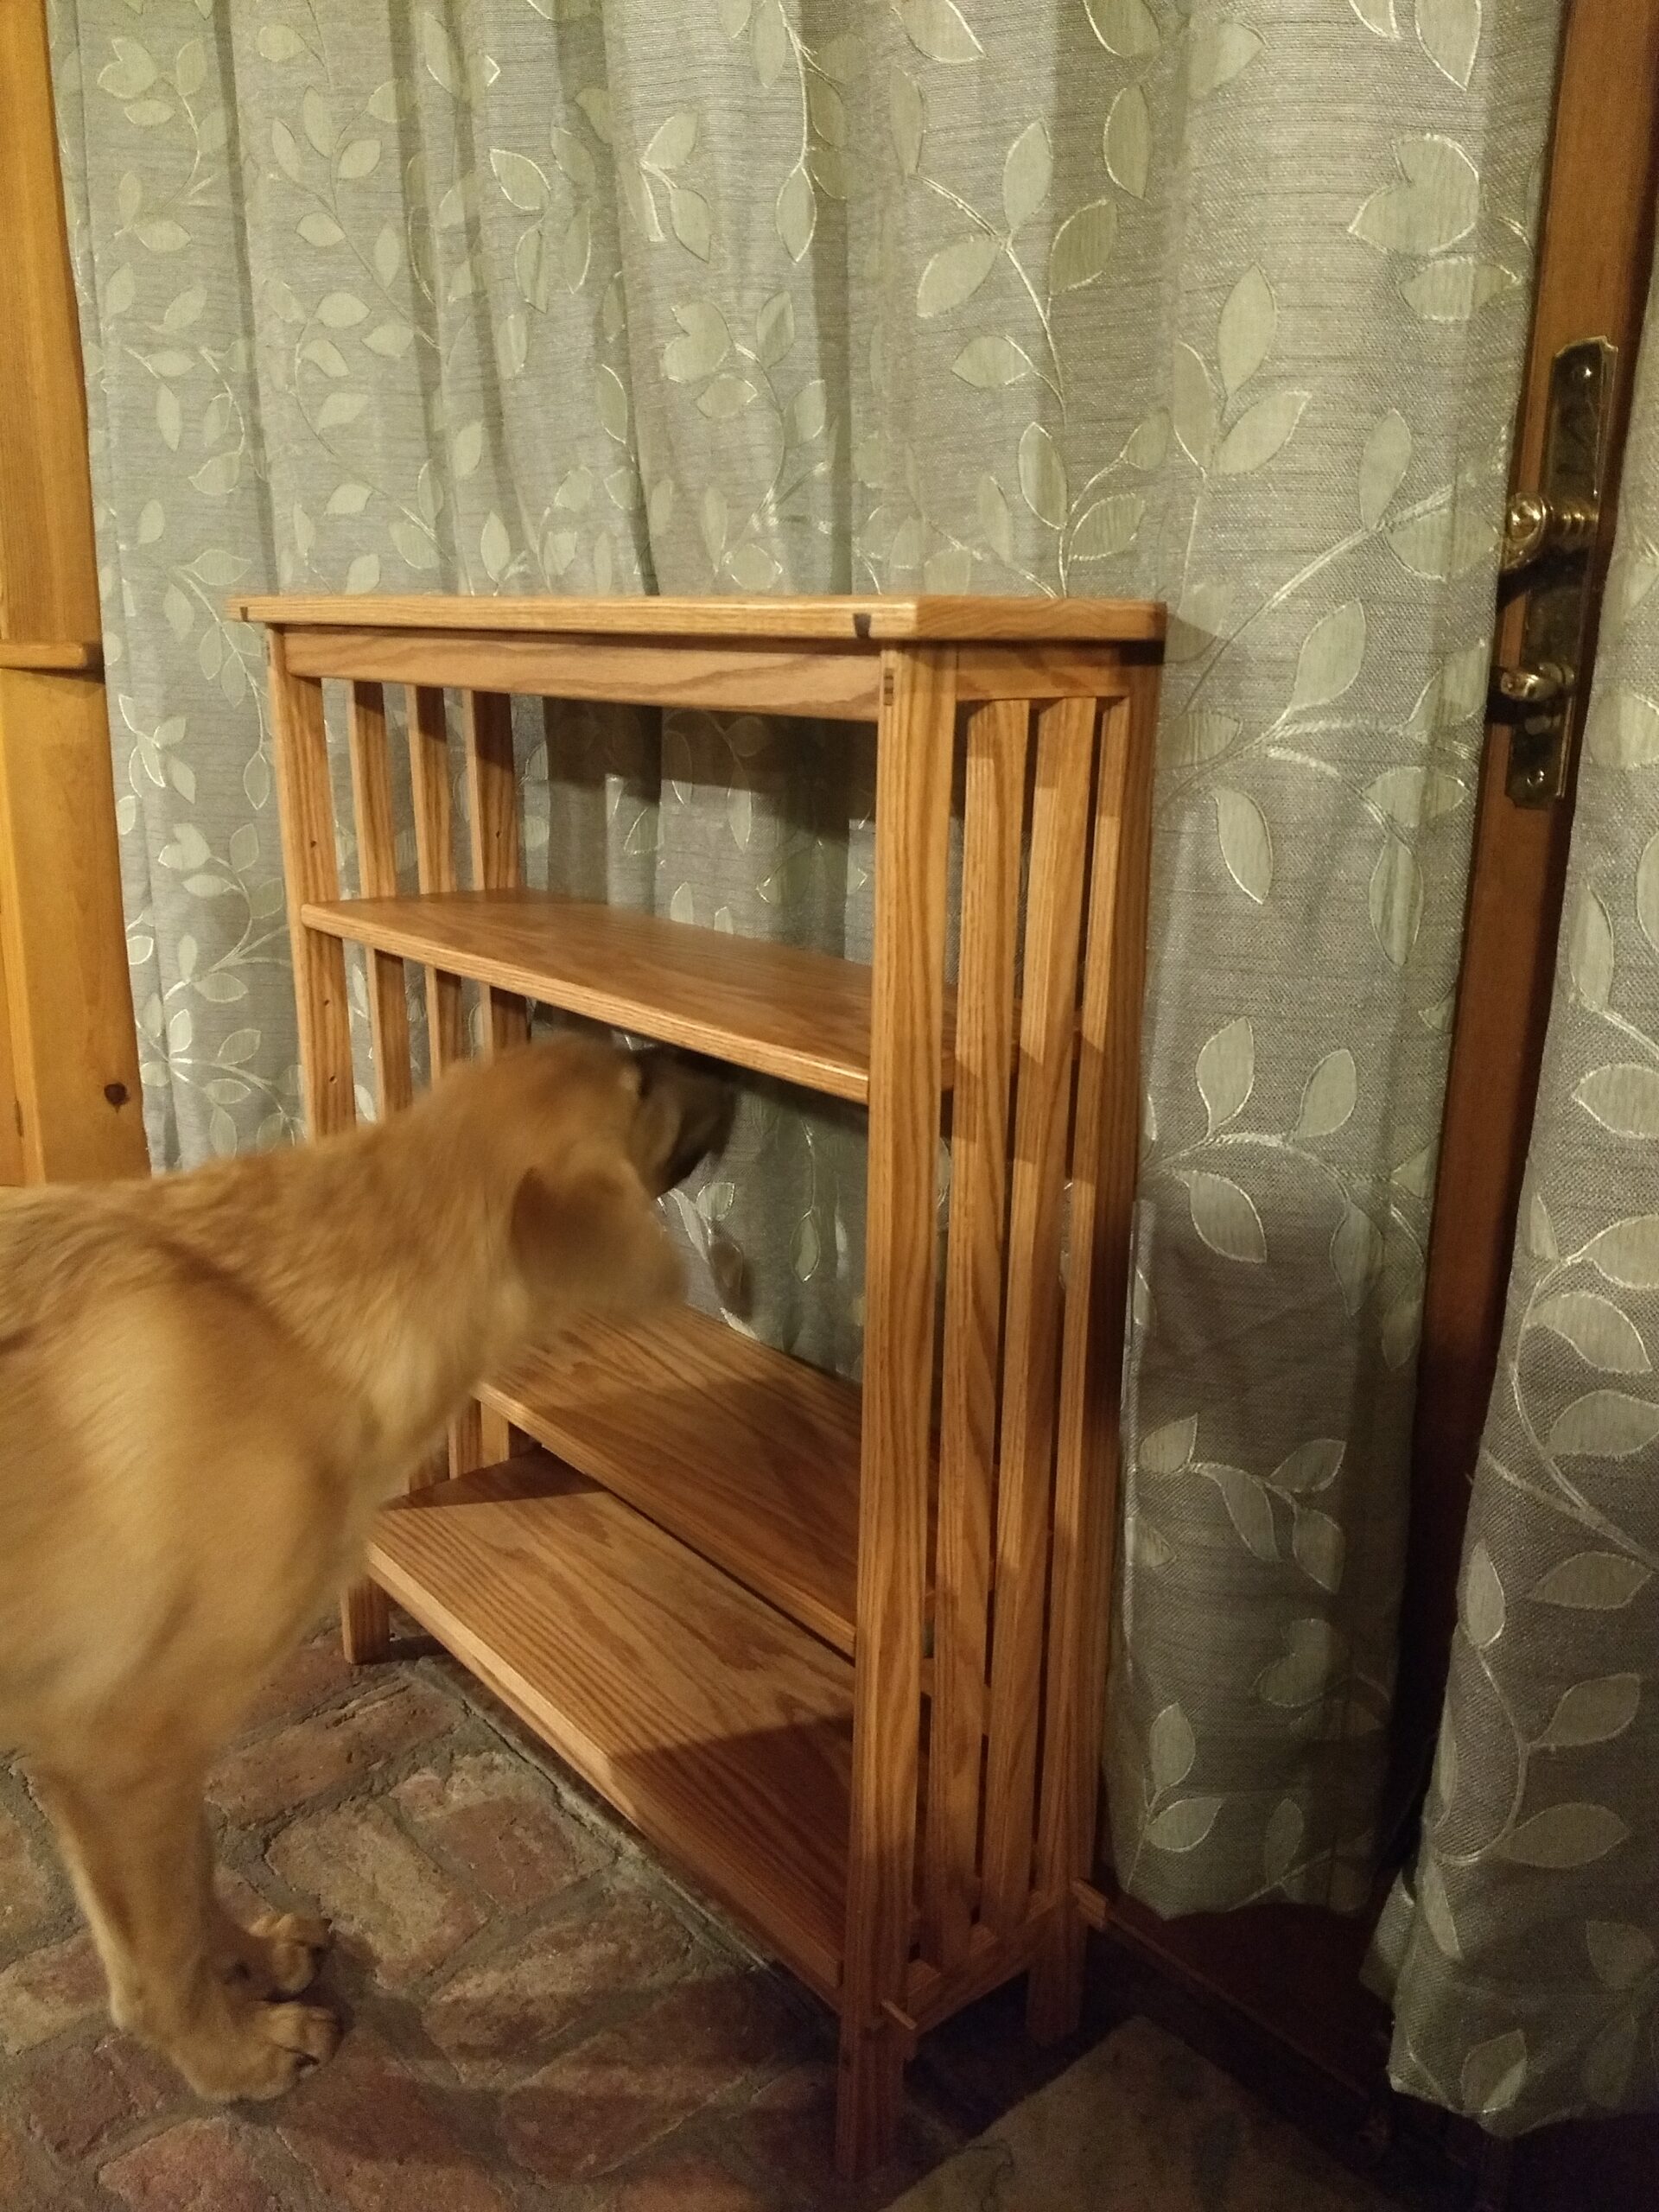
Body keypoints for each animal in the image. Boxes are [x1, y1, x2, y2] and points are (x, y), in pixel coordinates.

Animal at [0, 1035, 734, 2106]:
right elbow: (157, 1954)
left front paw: (250, 1961)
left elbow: (196, 1875)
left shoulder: (161, 1754)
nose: (729, 1075)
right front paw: (230, 2059)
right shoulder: (116, 1750)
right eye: (637, 1086)